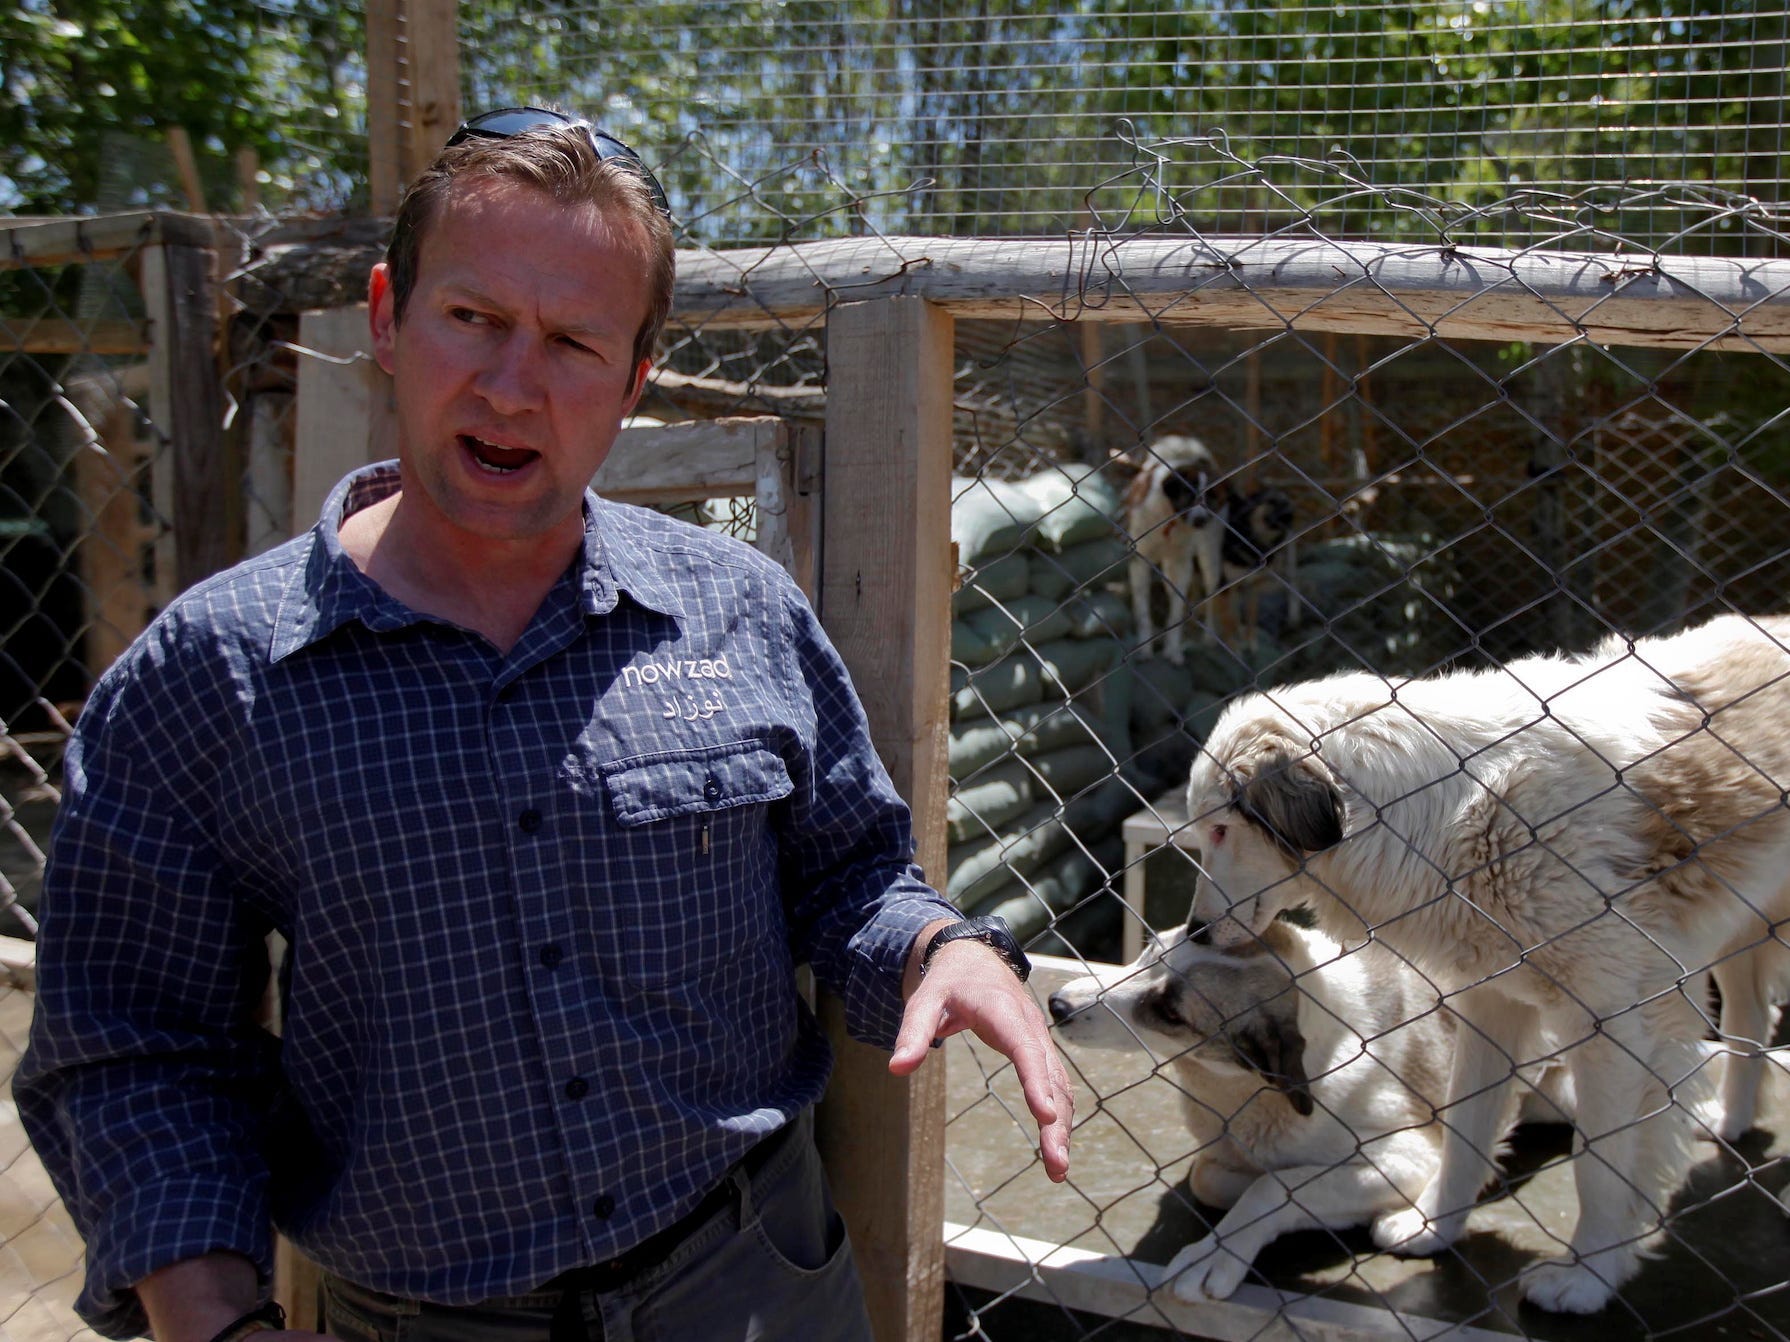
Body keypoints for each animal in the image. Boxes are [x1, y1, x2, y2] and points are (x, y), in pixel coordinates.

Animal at [1045, 923, 1568, 1302]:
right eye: (1148, 951)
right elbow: (1209, 1177)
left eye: (1170, 1014)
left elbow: (1274, 1187)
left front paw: (1218, 1250)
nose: (1057, 1005)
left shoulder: (1411, 1156)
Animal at [1174, 615, 1790, 1316]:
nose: (1195, 931)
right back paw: (1732, 1121)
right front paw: (1433, 1228)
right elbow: (1465, 1130)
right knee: (1750, 1014)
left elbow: (1599, 1168)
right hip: (1740, 928)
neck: (1447, 814)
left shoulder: (1612, 1024)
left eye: (1221, 831)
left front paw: (1587, 1277)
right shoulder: (1490, 1005)